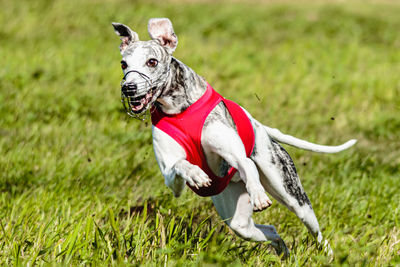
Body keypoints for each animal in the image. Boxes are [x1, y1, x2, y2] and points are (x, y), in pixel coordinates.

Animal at [111, 18, 356, 258]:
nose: (129, 88)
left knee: (314, 230)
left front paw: (258, 195)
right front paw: (196, 175)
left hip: (291, 193)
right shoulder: (171, 178)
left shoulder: (235, 154)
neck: (179, 109)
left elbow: (245, 163)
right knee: (269, 230)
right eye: (124, 64)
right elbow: (180, 165)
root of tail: (262, 129)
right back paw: (283, 252)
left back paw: (327, 254)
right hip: (237, 218)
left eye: (152, 62)